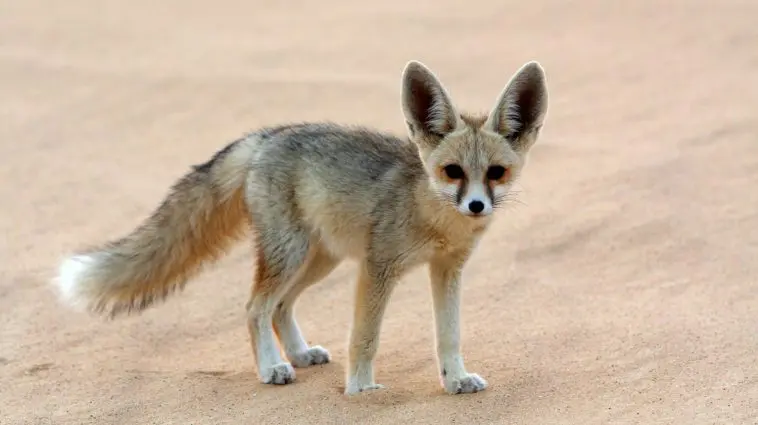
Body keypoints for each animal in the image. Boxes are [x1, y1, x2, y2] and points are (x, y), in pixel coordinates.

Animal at [53, 60, 549, 395]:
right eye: (452, 172)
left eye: (496, 173)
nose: (477, 206)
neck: (432, 216)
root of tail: (268, 135)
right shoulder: (378, 268)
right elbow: (365, 337)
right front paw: (361, 390)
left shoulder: (447, 270)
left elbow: (449, 335)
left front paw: (455, 380)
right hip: (292, 254)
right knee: (255, 307)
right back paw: (272, 368)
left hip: (320, 260)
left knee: (279, 307)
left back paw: (297, 354)